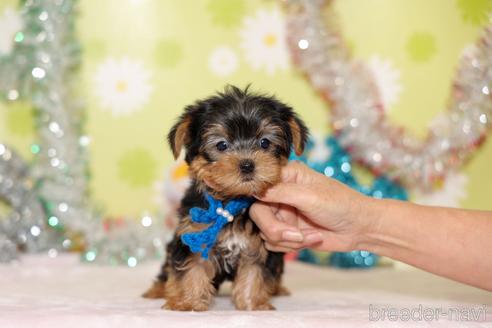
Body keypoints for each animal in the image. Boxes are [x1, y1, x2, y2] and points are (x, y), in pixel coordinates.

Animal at [142, 84, 308, 310]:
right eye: (221, 145)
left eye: (265, 143)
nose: (247, 165)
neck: (231, 201)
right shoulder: (194, 235)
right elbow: (191, 269)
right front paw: (187, 302)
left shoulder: (259, 245)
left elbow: (255, 272)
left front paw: (252, 303)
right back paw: (157, 290)